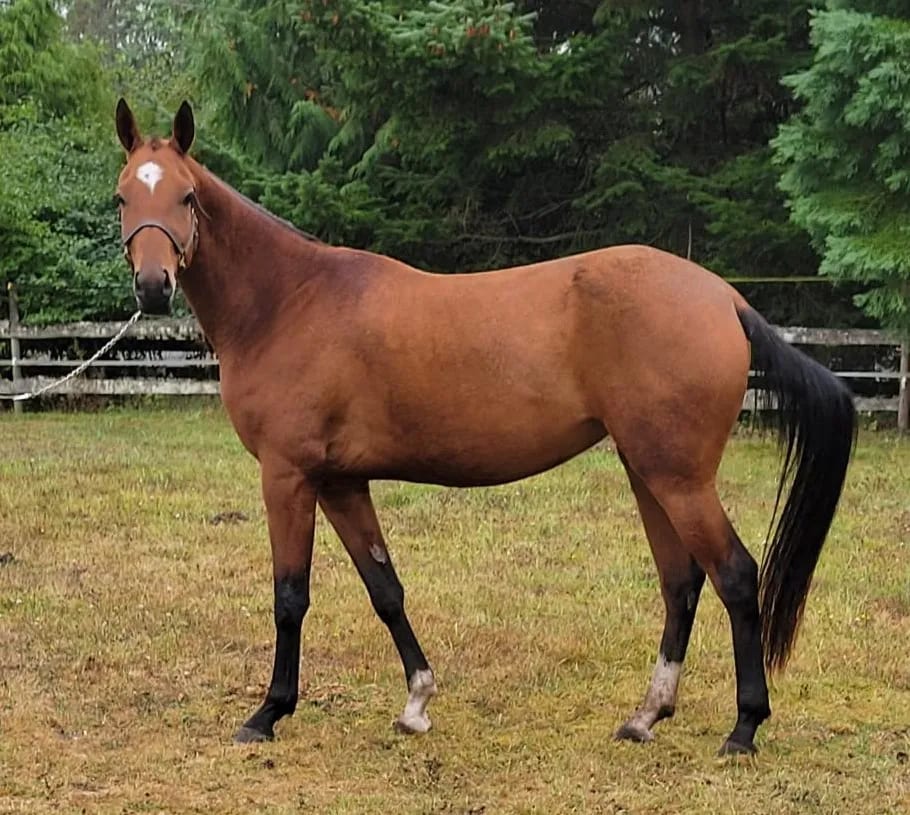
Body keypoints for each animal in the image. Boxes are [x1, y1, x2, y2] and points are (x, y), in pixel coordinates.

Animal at [113, 99, 856, 756]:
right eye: (124, 197)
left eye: (186, 198)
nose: (153, 286)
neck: (288, 300)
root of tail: (724, 297)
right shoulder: (341, 481)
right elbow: (385, 588)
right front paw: (417, 701)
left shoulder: (289, 475)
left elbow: (290, 596)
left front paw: (268, 712)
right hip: (650, 472)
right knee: (682, 582)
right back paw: (646, 716)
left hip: (679, 478)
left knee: (735, 575)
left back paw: (744, 727)